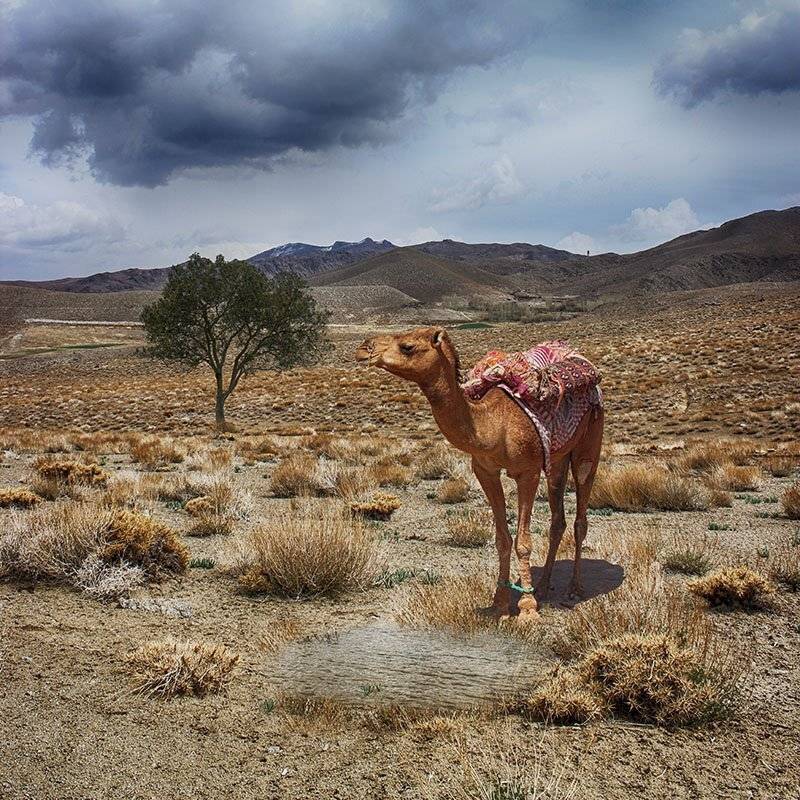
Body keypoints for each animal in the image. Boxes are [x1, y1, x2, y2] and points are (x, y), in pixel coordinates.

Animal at [355, 326, 604, 620]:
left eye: (407, 346)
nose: (363, 348)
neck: (491, 425)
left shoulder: (528, 471)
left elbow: (523, 541)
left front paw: (527, 609)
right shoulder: (485, 471)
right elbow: (502, 539)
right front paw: (499, 604)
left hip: (589, 444)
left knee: (580, 516)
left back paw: (574, 589)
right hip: (557, 458)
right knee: (558, 520)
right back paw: (543, 587)